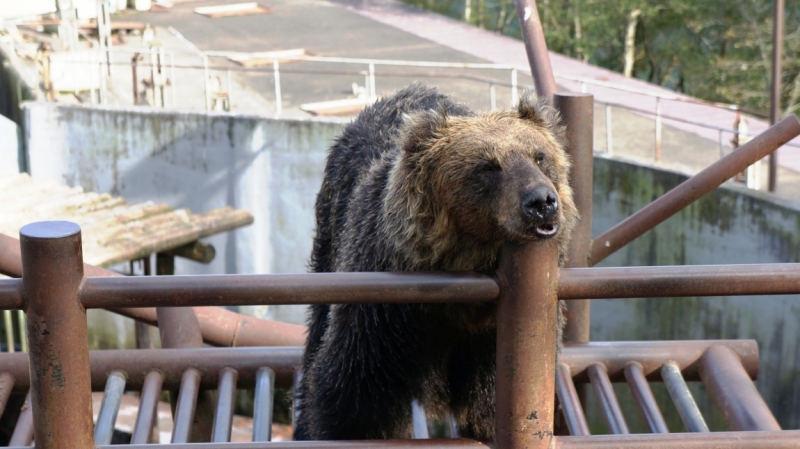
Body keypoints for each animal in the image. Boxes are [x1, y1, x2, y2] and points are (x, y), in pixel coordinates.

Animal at [294, 84, 576, 440]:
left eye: (540, 156)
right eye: (488, 166)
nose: (541, 202)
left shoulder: (493, 339)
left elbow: (493, 403)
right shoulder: (384, 314)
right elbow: (353, 395)